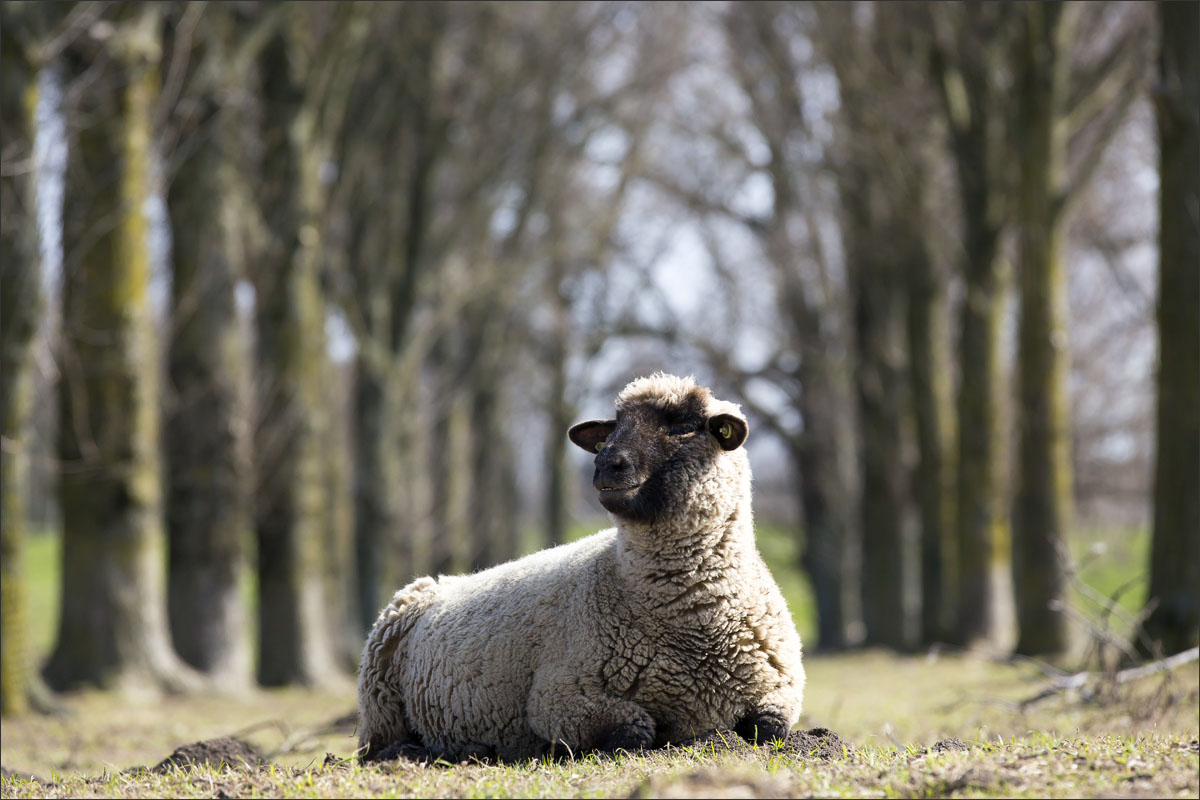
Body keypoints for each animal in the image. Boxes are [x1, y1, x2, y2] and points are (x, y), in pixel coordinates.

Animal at [355, 371, 806, 762]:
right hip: (378, 697)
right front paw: (552, 747)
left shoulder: (782, 688)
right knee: (375, 747)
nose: (606, 463)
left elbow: (770, 728)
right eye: (613, 427)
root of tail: (440, 581)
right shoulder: (559, 698)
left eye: (684, 425)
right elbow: (636, 729)